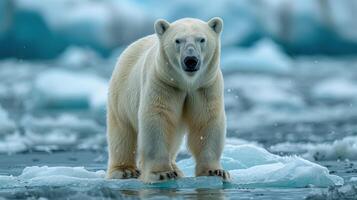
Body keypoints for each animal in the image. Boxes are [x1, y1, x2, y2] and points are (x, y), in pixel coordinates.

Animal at [105, 17, 228, 183]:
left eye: (202, 39)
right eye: (178, 40)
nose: (190, 60)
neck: (186, 83)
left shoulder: (205, 86)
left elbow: (207, 121)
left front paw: (215, 171)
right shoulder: (164, 83)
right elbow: (158, 120)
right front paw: (161, 173)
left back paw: (176, 168)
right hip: (121, 94)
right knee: (122, 132)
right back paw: (124, 171)